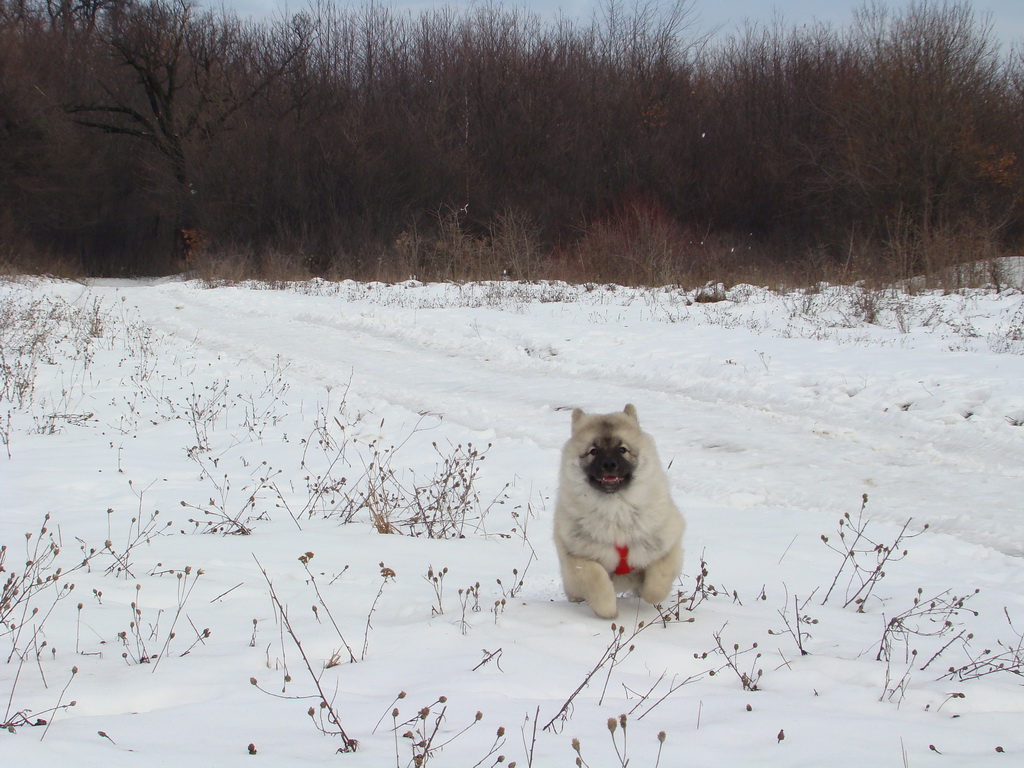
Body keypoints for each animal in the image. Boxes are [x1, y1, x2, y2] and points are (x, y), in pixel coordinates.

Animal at [552, 405, 688, 622]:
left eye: (622, 449)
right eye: (594, 451)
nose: (609, 465)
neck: (615, 509)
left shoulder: (667, 545)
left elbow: (658, 580)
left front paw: (648, 592)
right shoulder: (577, 558)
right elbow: (596, 578)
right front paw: (609, 610)